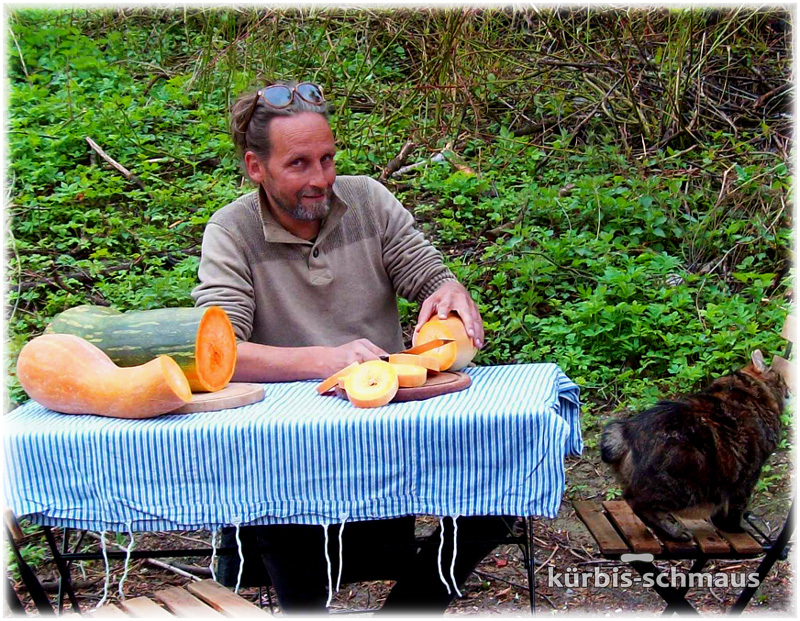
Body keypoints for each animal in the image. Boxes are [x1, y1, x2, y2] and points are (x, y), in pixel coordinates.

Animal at [600, 352, 788, 540]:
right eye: (781, 378)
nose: (788, 389)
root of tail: (627, 429)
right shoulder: (748, 475)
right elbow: (735, 508)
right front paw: (733, 528)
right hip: (686, 484)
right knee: (638, 504)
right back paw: (674, 532)